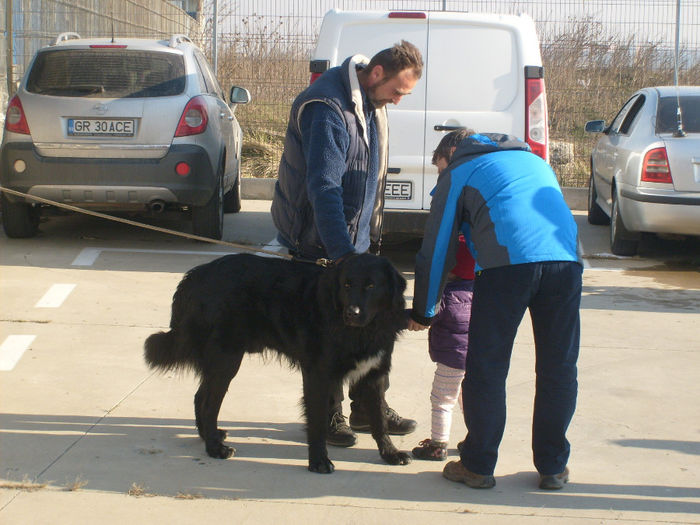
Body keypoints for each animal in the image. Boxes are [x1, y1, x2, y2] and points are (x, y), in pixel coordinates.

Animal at [146, 252, 412, 472]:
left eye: (371, 285)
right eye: (347, 284)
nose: (351, 313)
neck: (362, 331)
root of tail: (195, 274)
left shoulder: (373, 374)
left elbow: (379, 420)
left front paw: (390, 453)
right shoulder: (318, 375)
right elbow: (317, 422)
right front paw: (318, 461)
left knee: (200, 397)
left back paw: (208, 437)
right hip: (226, 359)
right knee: (209, 403)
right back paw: (214, 448)